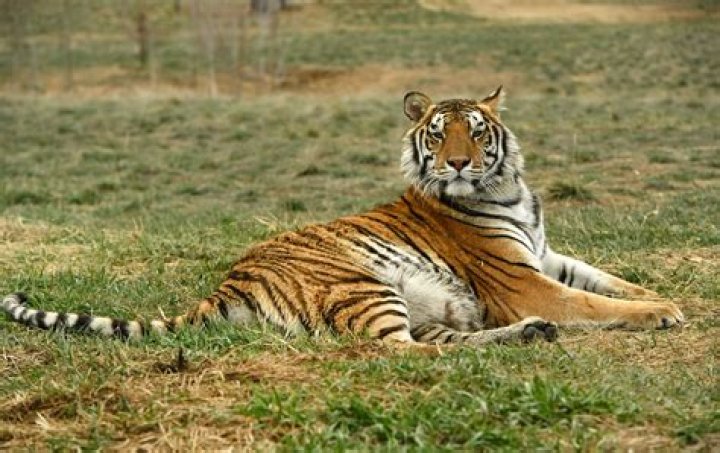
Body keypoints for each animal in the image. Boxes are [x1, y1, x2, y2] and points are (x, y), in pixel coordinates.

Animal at [2, 87, 684, 347]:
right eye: (437, 133)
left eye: (474, 129)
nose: (459, 163)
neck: (510, 190)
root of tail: (226, 283)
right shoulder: (521, 280)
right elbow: (596, 304)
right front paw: (662, 313)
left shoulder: (545, 256)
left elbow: (609, 280)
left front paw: (661, 295)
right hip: (365, 283)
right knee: (400, 352)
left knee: (435, 341)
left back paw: (527, 335)